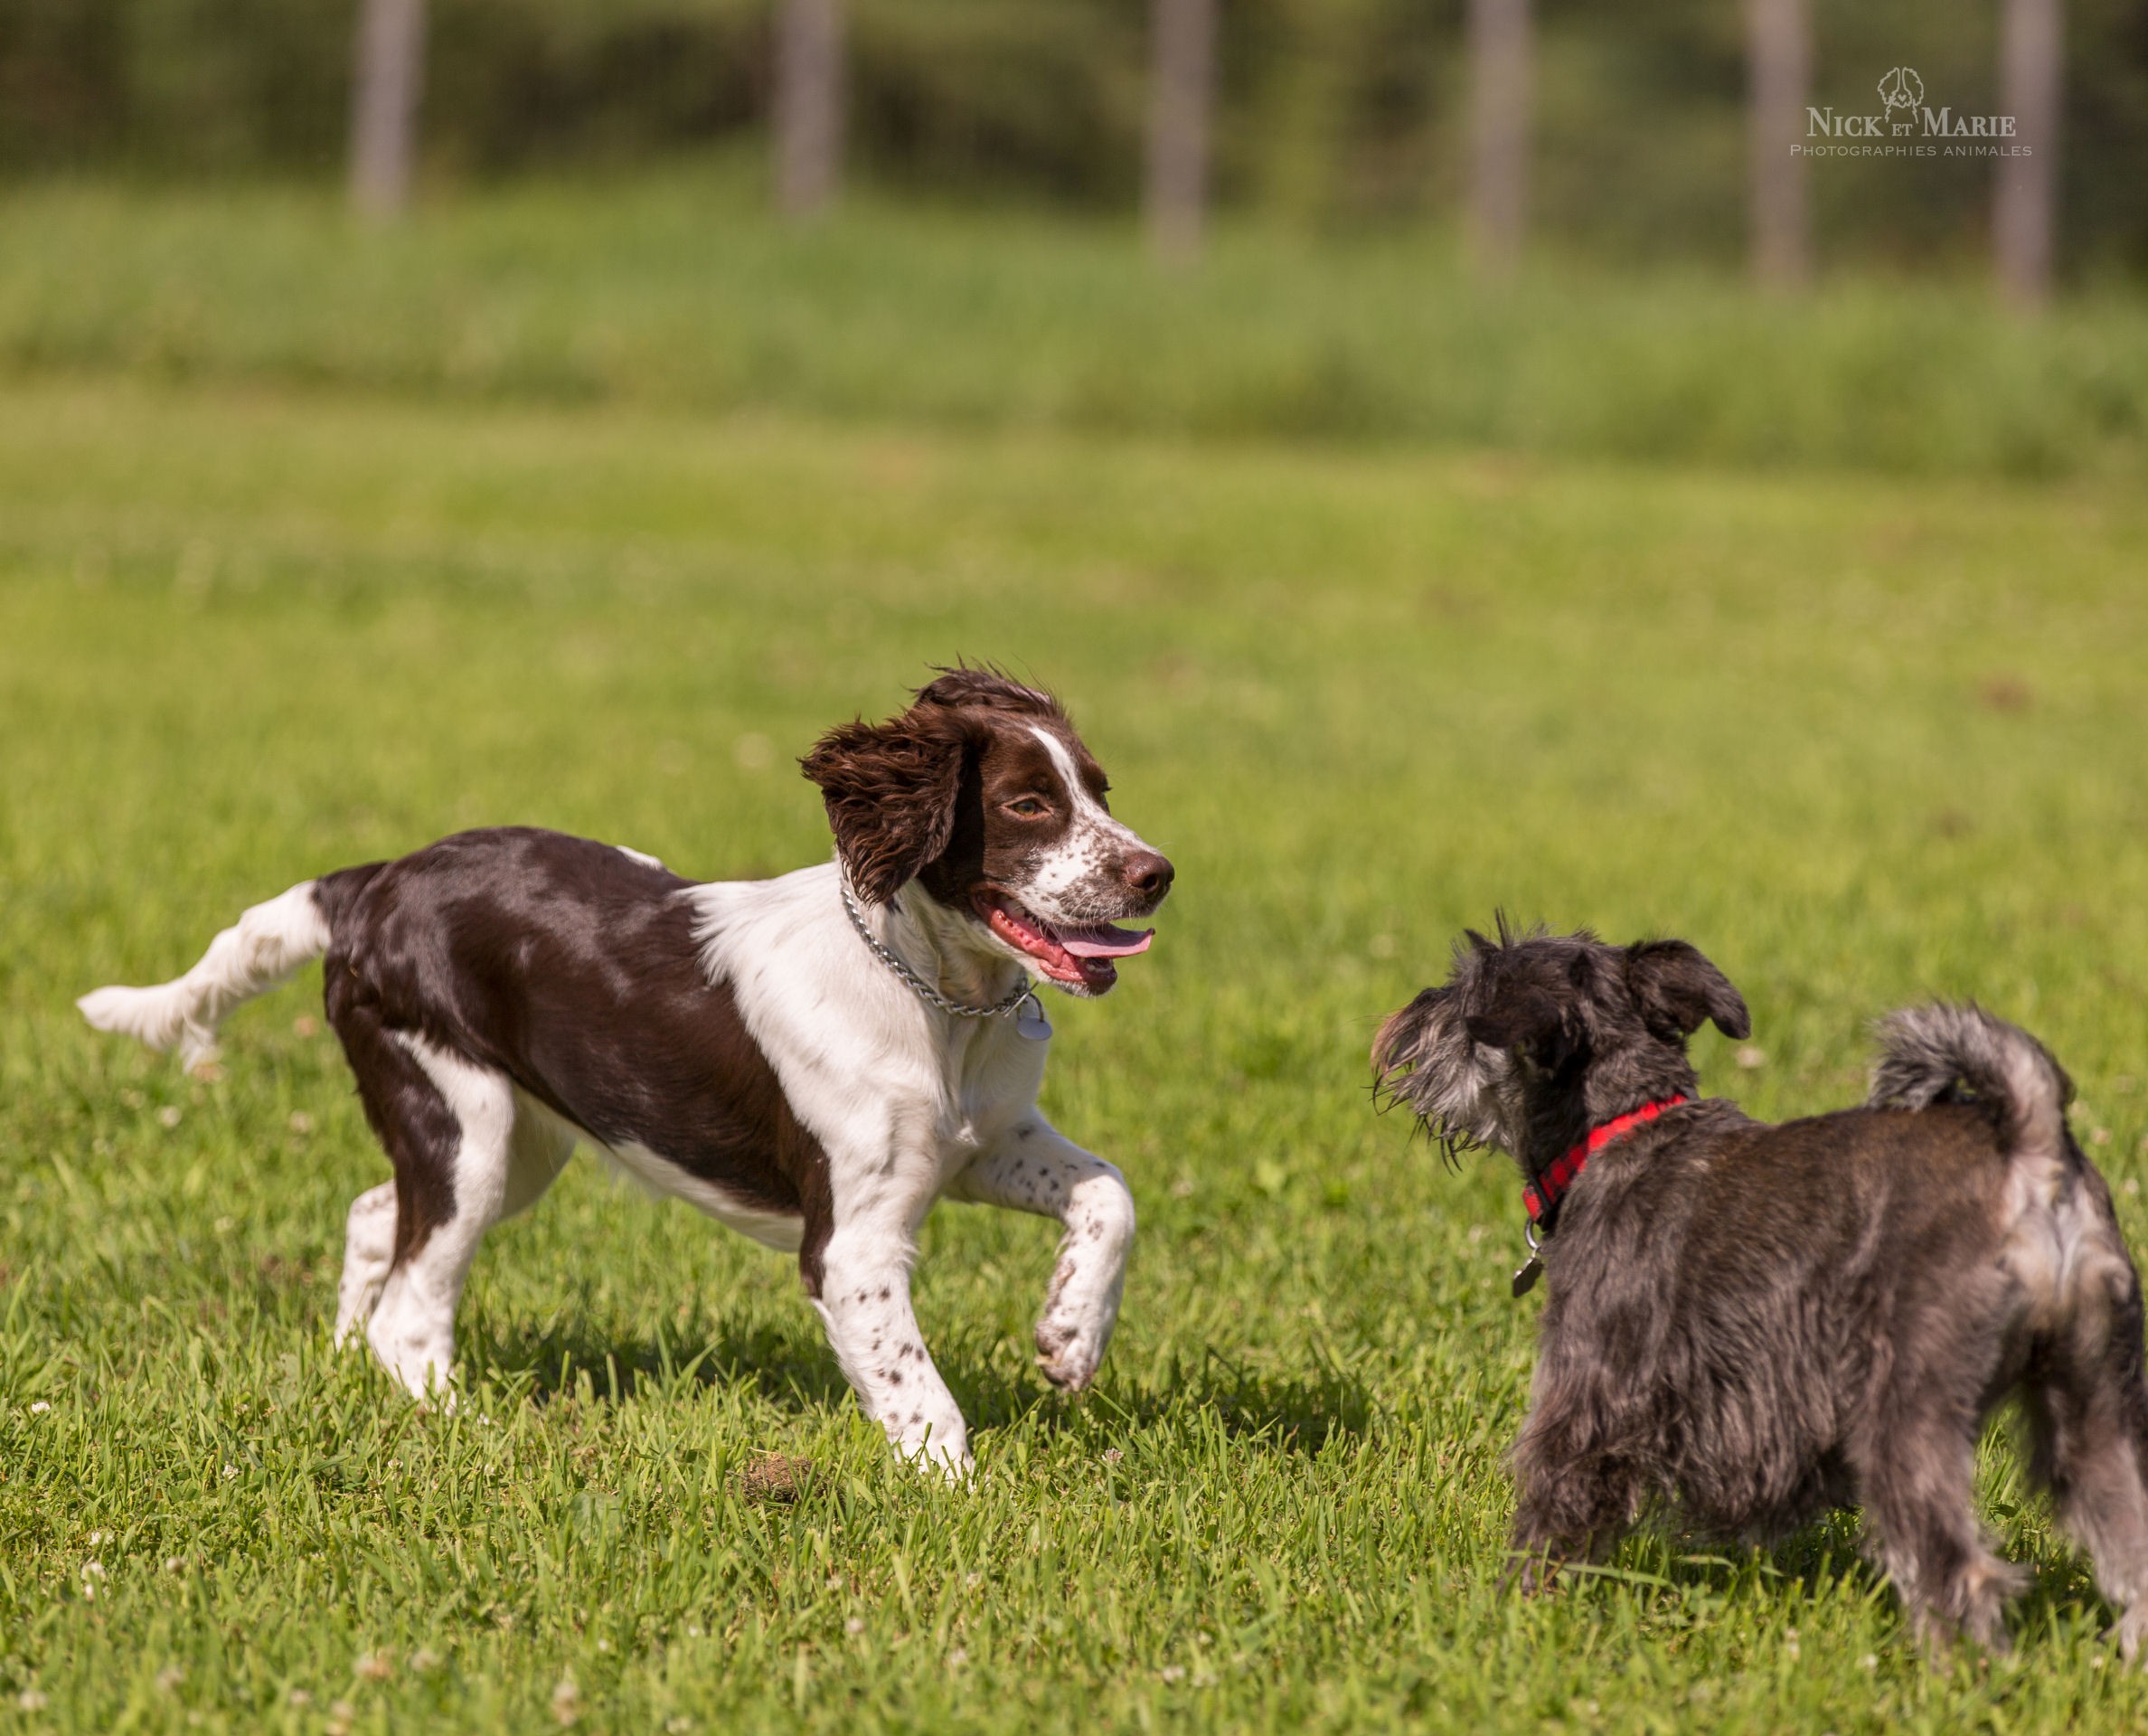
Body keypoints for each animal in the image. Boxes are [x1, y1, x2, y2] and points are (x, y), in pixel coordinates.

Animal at [79, 670, 1177, 1469]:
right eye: (1027, 804)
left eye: (1101, 791)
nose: (1157, 872)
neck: (938, 1001)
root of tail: (371, 881)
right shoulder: (854, 1241)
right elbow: (919, 1392)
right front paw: (956, 1496)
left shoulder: (988, 1143)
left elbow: (1110, 1192)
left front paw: (1071, 1339)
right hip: (467, 1121)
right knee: (412, 1309)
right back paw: (465, 1431)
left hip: (514, 1140)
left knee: (375, 1217)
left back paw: (346, 1365)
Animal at [1374, 928, 2148, 1658]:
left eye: (1466, 995)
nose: (1408, 1014)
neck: (1620, 1132)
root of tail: (2032, 1149)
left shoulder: (1583, 1400)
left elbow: (1548, 1520)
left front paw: (1511, 1615)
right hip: (2093, 1406)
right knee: (2128, 1544)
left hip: (1905, 1415)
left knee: (1957, 1568)